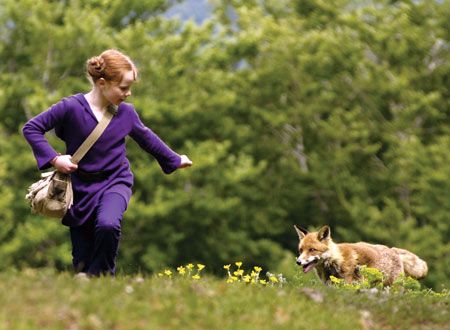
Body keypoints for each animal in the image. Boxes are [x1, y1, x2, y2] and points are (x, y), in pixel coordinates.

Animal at [294, 224, 428, 286]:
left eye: (312, 249)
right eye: (301, 250)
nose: (298, 262)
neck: (336, 260)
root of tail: (392, 249)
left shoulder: (348, 283)